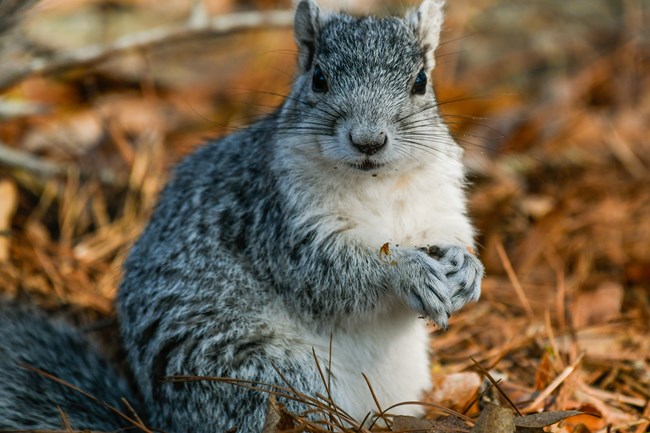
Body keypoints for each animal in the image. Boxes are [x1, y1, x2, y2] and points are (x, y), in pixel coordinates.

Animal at [0, 1, 480, 430]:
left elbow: (451, 231)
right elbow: (327, 276)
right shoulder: (275, 219)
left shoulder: (437, 200)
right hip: (267, 375)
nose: (368, 141)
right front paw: (405, 271)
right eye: (319, 79)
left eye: (420, 81)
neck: (376, 182)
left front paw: (467, 268)